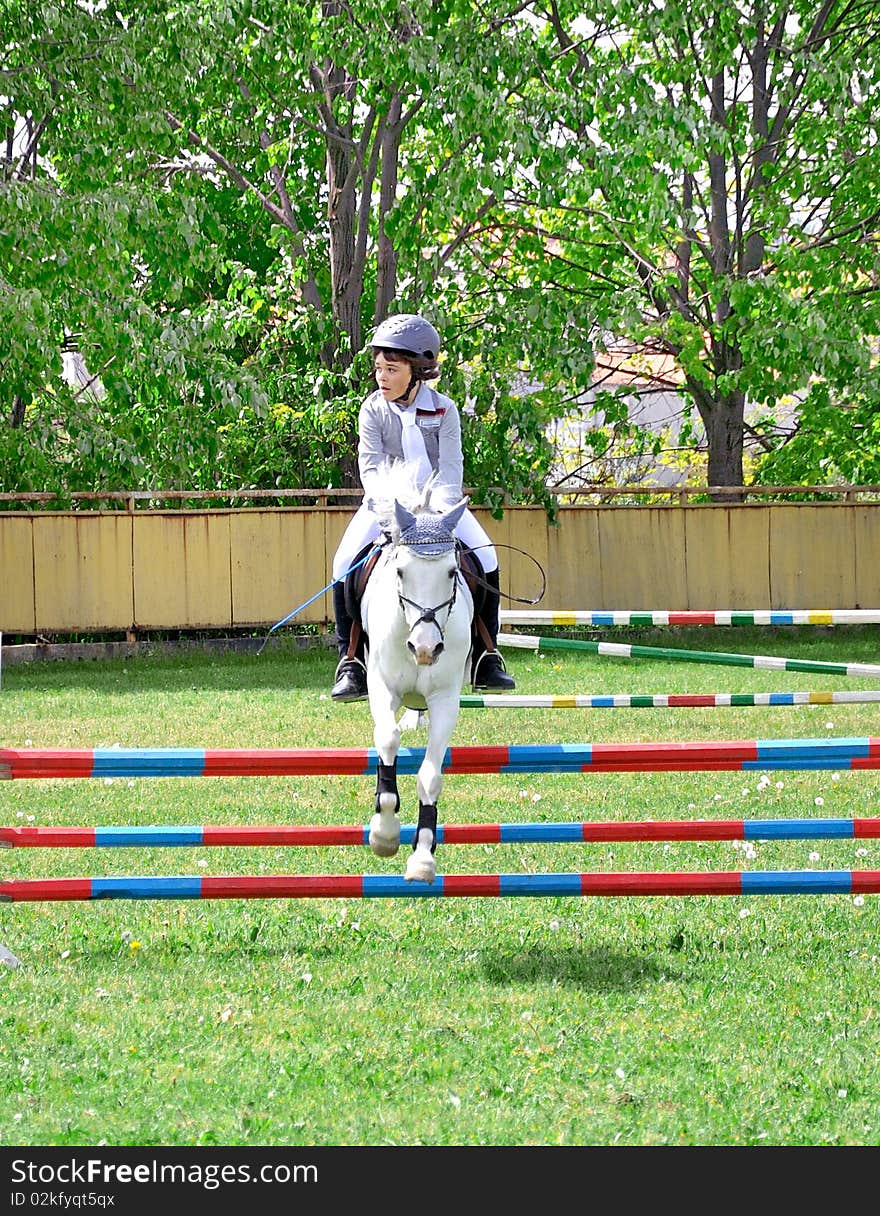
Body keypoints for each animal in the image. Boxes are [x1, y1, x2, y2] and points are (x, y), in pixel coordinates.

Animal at [357, 481, 474, 885]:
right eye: (401, 571)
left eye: (452, 572)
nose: (425, 649)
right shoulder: (381, 687)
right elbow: (387, 739)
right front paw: (384, 833)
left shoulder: (445, 700)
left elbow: (430, 775)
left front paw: (422, 857)